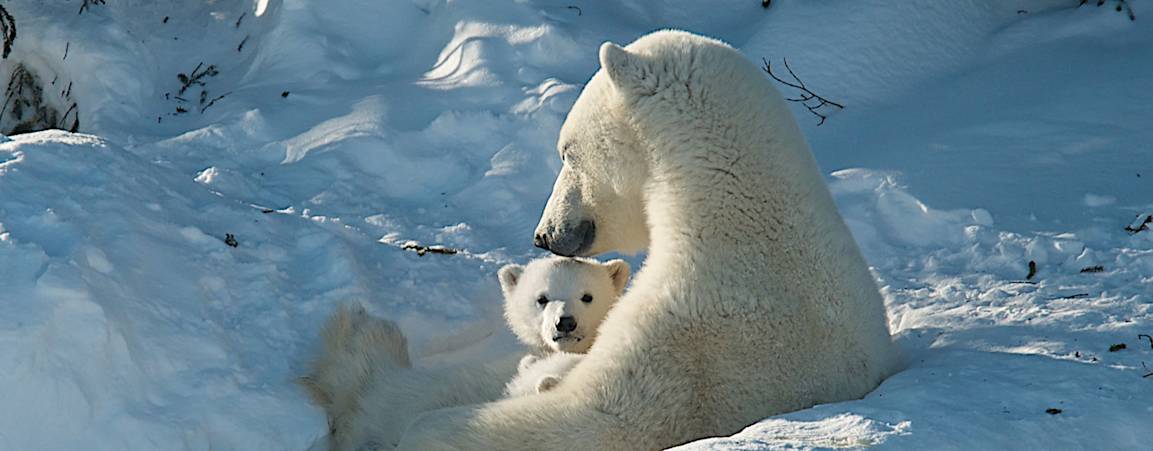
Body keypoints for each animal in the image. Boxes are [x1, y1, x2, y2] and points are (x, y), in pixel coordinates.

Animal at [395, 29, 900, 450]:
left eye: (566, 151)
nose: (544, 234)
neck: (739, 214)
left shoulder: (687, 330)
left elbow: (590, 415)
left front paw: (421, 426)